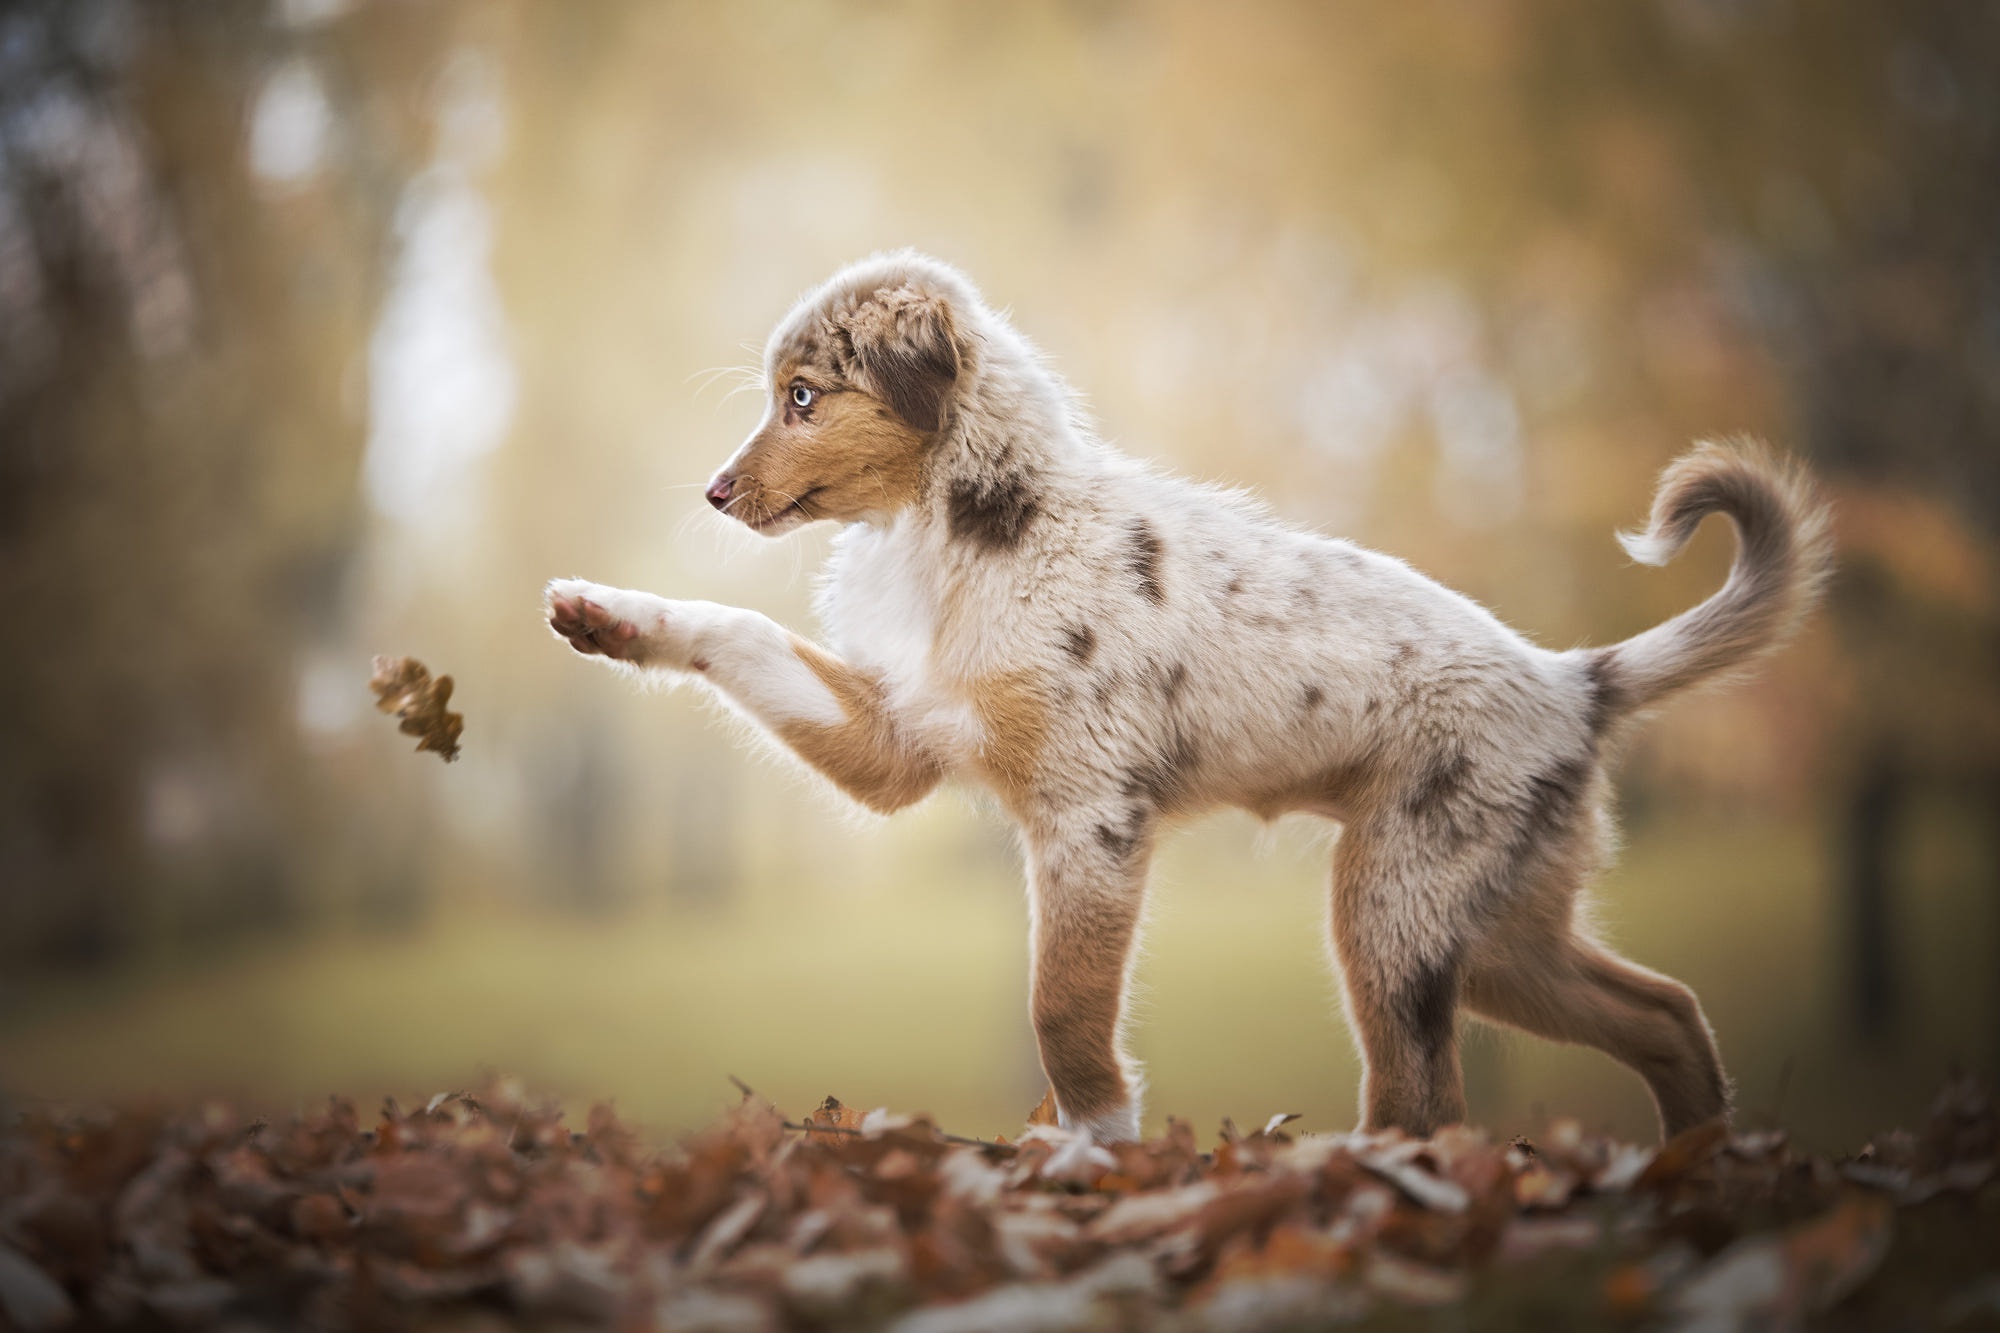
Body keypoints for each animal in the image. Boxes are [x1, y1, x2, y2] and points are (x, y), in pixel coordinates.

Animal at [544, 249, 1832, 1144]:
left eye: (803, 397)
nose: (711, 493)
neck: (970, 530)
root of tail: (1573, 678)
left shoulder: (1090, 819)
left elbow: (1062, 1008)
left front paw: (1093, 1146)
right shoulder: (897, 742)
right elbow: (740, 629)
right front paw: (604, 614)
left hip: (1393, 910)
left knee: (1427, 1099)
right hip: (1495, 928)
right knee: (1663, 1010)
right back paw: (1694, 1170)